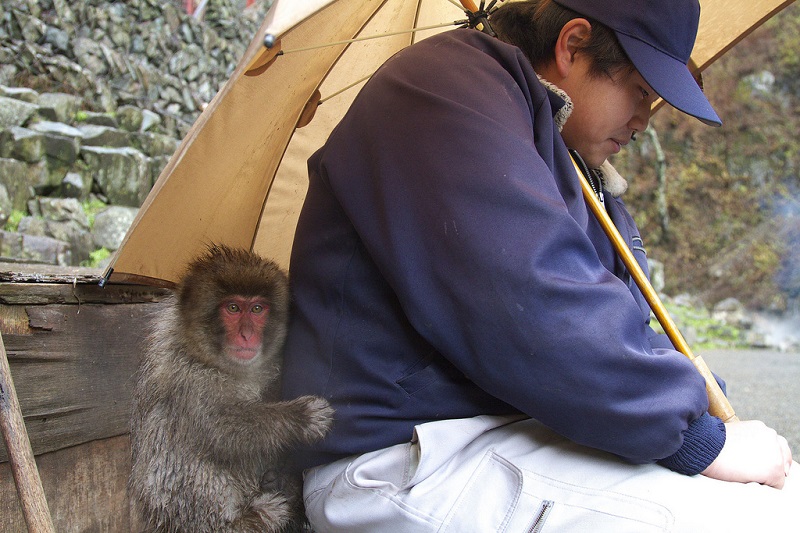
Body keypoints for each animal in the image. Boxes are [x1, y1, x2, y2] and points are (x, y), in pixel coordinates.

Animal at [130, 243, 334, 528]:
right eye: (234, 308)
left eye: (257, 309)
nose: (247, 335)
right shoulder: (186, 374)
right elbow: (218, 425)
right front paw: (299, 417)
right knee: (171, 435)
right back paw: (249, 521)